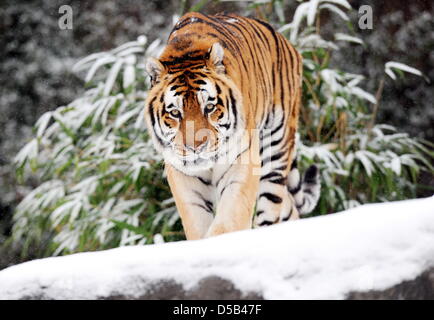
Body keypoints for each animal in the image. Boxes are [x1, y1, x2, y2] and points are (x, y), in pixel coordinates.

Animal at [144, 12, 320, 239]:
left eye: (209, 107)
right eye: (175, 112)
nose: (196, 147)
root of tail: (285, 40)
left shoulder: (242, 162)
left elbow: (229, 219)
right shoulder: (183, 176)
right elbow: (196, 223)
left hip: (275, 147)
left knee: (272, 203)